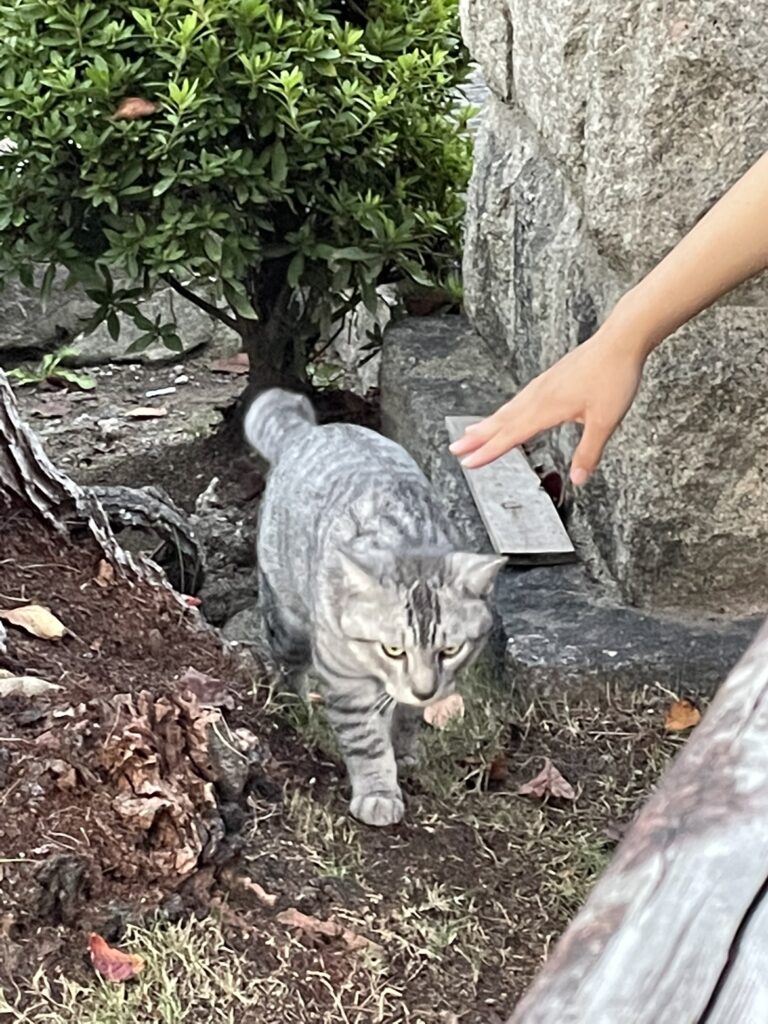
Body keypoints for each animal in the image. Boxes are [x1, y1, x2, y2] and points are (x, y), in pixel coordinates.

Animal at [246, 387, 505, 827]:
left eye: (450, 650)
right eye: (392, 648)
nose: (424, 688)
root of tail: (305, 431)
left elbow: (405, 719)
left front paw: (404, 751)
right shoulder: (346, 679)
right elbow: (366, 742)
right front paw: (379, 791)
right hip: (288, 619)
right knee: (286, 663)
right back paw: (293, 705)